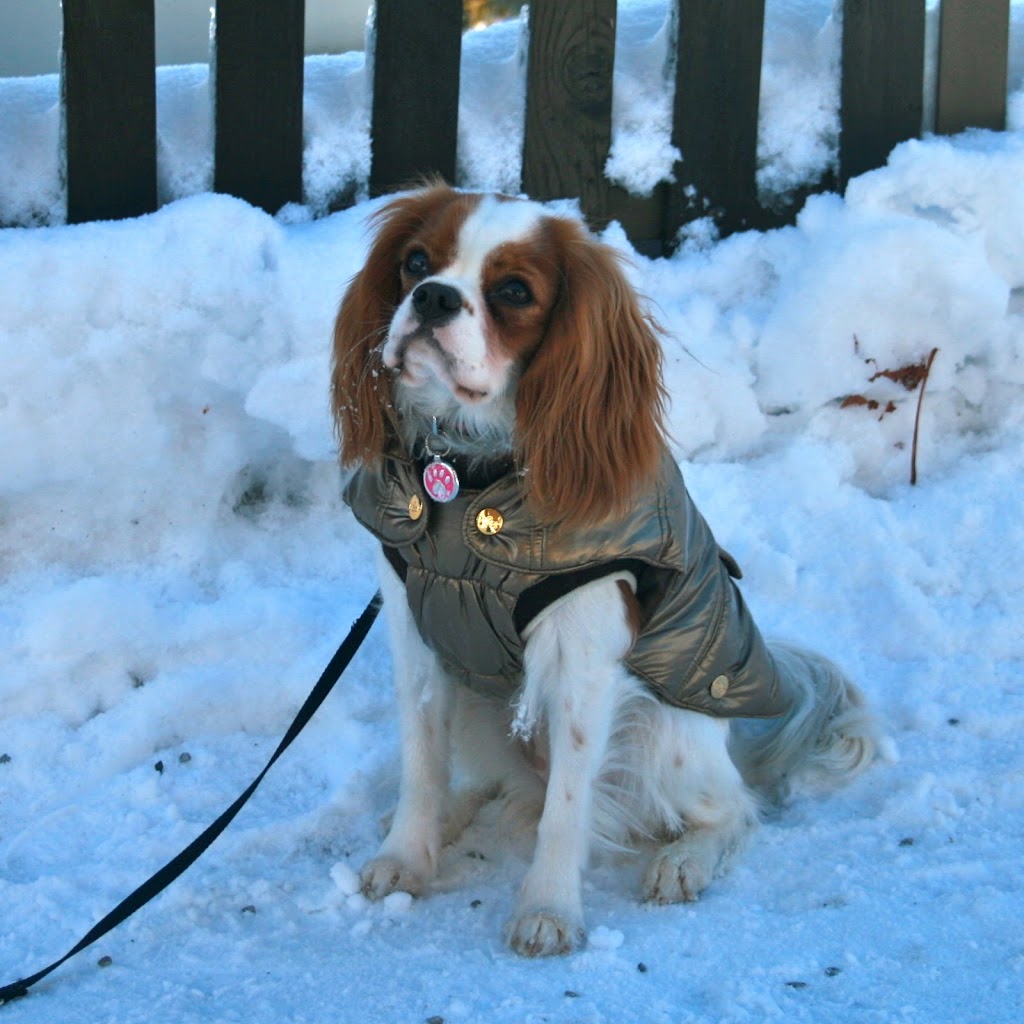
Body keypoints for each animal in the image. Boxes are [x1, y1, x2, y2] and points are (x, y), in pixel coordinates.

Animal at [331, 186, 876, 958]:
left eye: (513, 291)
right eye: (414, 261)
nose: (433, 297)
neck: (471, 476)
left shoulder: (584, 665)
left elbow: (568, 805)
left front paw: (549, 909)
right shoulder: (418, 639)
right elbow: (421, 761)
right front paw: (408, 854)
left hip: (662, 731)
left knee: (732, 809)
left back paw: (683, 861)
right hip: (483, 700)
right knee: (496, 786)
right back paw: (456, 814)